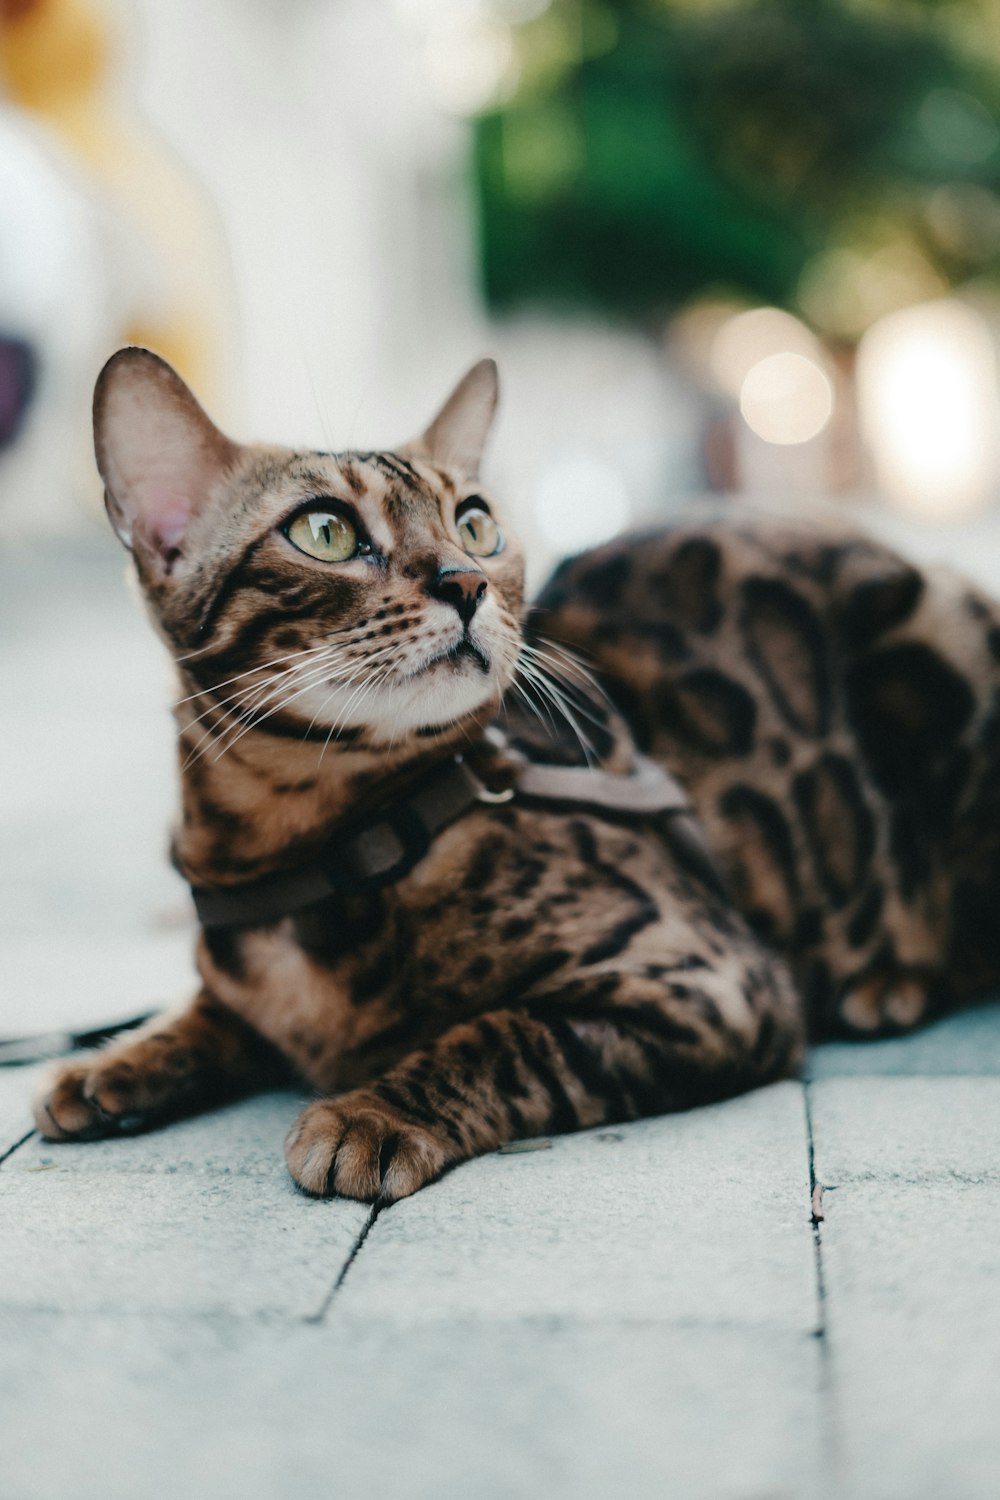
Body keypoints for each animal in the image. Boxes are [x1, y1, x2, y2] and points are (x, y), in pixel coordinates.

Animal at [31, 345, 1000, 1200]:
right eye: (325, 531)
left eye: (476, 522)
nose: (465, 580)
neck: (307, 850)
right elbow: (203, 1008)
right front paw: (112, 1062)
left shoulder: (707, 979)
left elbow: (502, 1035)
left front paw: (371, 1113)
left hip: (944, 647)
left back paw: (891, 986)